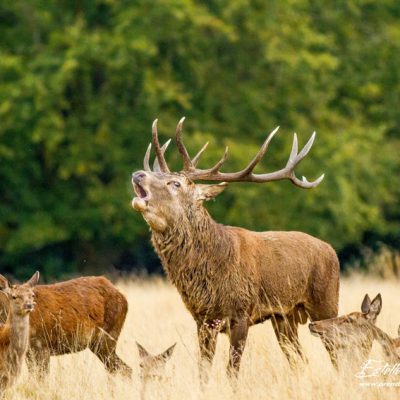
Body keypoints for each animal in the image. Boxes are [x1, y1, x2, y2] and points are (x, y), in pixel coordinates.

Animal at [0, 276, 131, 378]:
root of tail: (123, 296)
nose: (29, 305)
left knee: (123, 369)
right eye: (13, 296)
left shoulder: (42, 345)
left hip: (108, 336)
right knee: (118, 369)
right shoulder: (28, 352)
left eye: (32, 295)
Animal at [133, 117, 340, 380]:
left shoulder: (242, 313)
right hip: (284, 317)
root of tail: (331, 250)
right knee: (299, 360)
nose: (138, 174)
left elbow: (232, 371)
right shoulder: (203, 319)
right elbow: (203, 371)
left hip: (327, 301)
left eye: (175, 183)